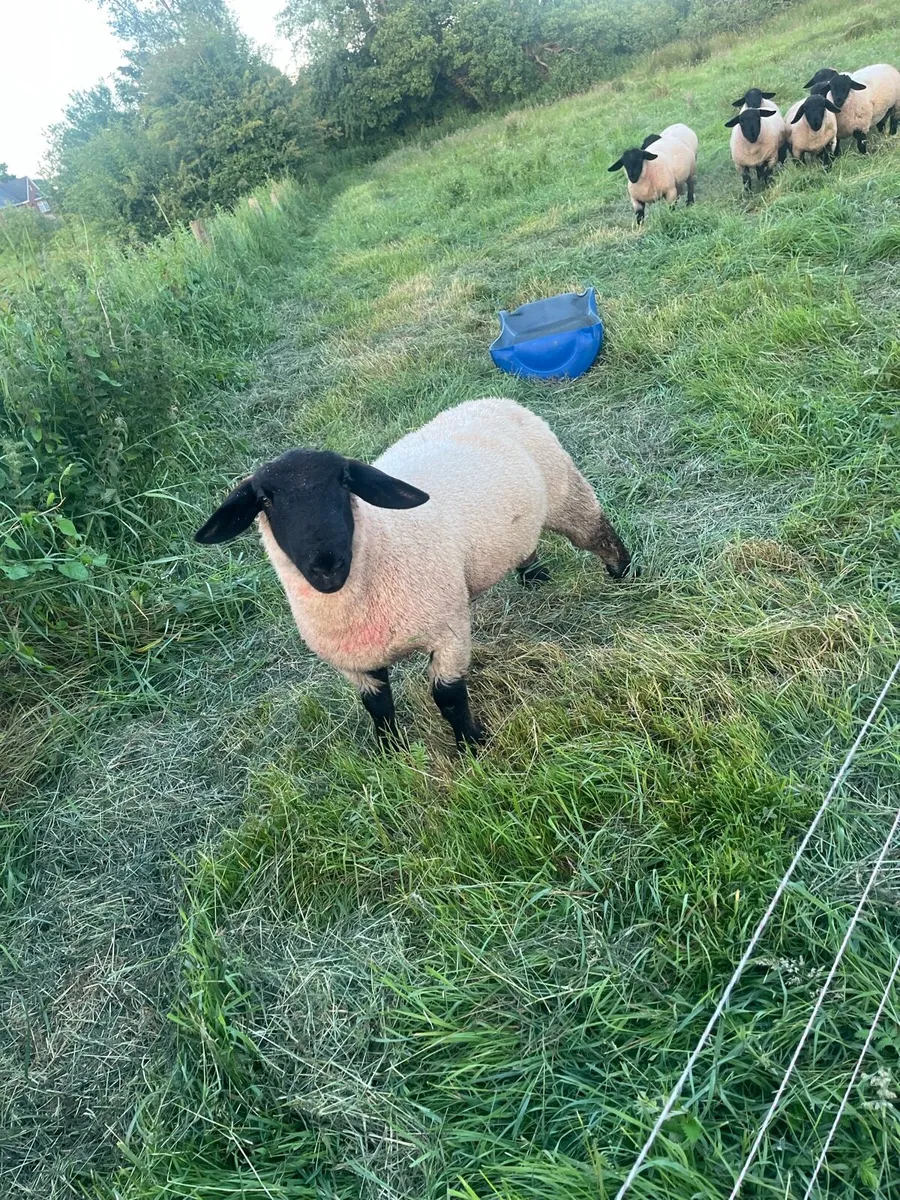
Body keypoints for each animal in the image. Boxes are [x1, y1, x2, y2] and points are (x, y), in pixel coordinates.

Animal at [194, 398, 633, 749]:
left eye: (344, 482)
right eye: (264, 500)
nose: (326, 565)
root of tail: (490, 399)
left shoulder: (448, 632)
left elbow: (448, 697)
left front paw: (472, 745)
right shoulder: (356, 663)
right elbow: (377, 706)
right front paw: (390, 751)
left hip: (566, 493)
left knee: (599, 533)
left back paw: (624, 573)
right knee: (527, 546)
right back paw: (534, 577)